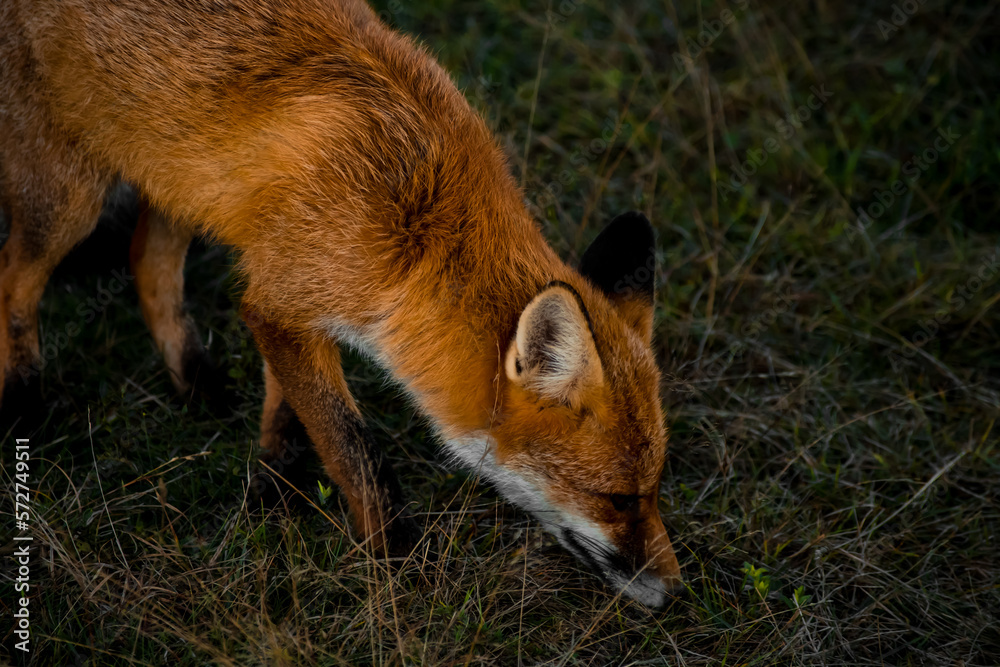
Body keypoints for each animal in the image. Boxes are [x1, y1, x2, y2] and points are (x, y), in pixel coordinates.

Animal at [0, 0, 683, 606]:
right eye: (619, 499)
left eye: (654, 490)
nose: (676, 591)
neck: (419, 226)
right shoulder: (282, 300)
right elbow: (355, 447)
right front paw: (397, 558)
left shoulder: (288, 301)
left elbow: (290, 407)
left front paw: (274, 486)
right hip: (71, 198)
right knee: (15, 280)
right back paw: (26, 405)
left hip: (181, 181)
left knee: (147, 262)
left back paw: (195, 382)